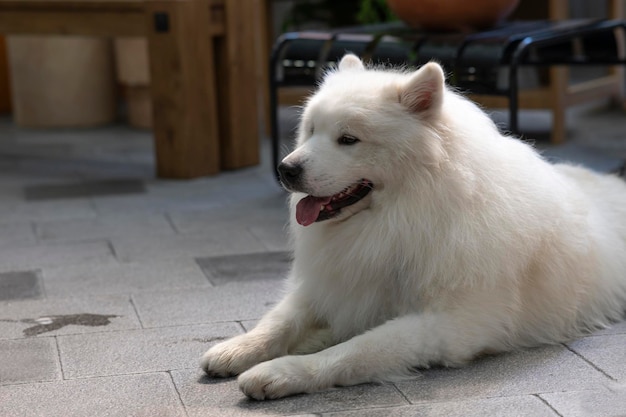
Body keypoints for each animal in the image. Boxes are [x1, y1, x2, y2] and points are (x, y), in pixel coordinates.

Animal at [200, 53, 624, 398]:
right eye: (311, 131)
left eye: (348, 139)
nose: (285, 169)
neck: (401, 218)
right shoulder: (333, 282)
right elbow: (281, 320)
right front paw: (238, 348)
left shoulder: (449, 324)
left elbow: (356, 350)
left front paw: (282, 372)